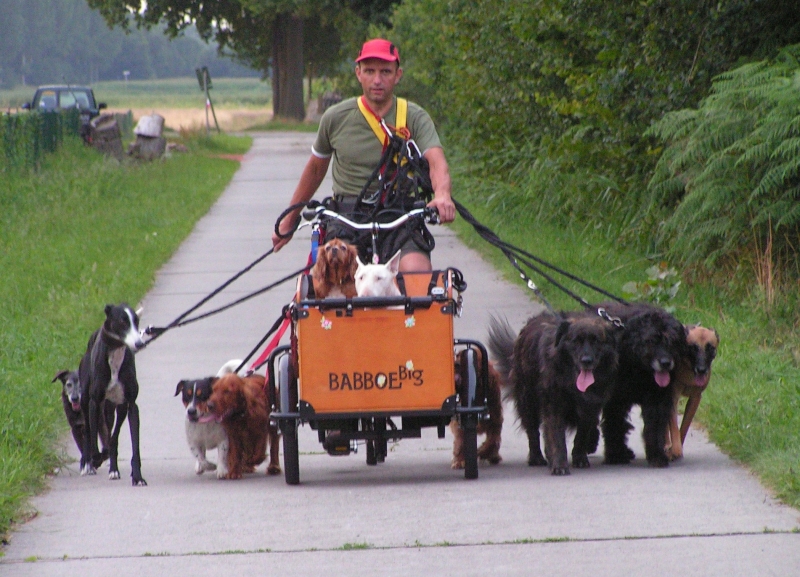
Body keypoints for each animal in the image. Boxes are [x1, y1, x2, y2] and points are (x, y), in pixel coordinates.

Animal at [488, 312, 624, 474]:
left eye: (596, 341)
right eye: (576, 341)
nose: (586, 360)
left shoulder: (590, 407)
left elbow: (582, 434)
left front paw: (579, 457)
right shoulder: (554, 405)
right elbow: (556, 437)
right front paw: (560, 465)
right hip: (527, 401)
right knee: (533, 431)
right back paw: (536, 457)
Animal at [592, 304, 688, 466]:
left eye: (673, 341)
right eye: (651, 341)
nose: (665, 363)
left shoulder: (657, 398)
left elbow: (655, 426)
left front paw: (657, 455)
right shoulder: (616, 400)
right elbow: (614, 424)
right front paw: (615, 455)